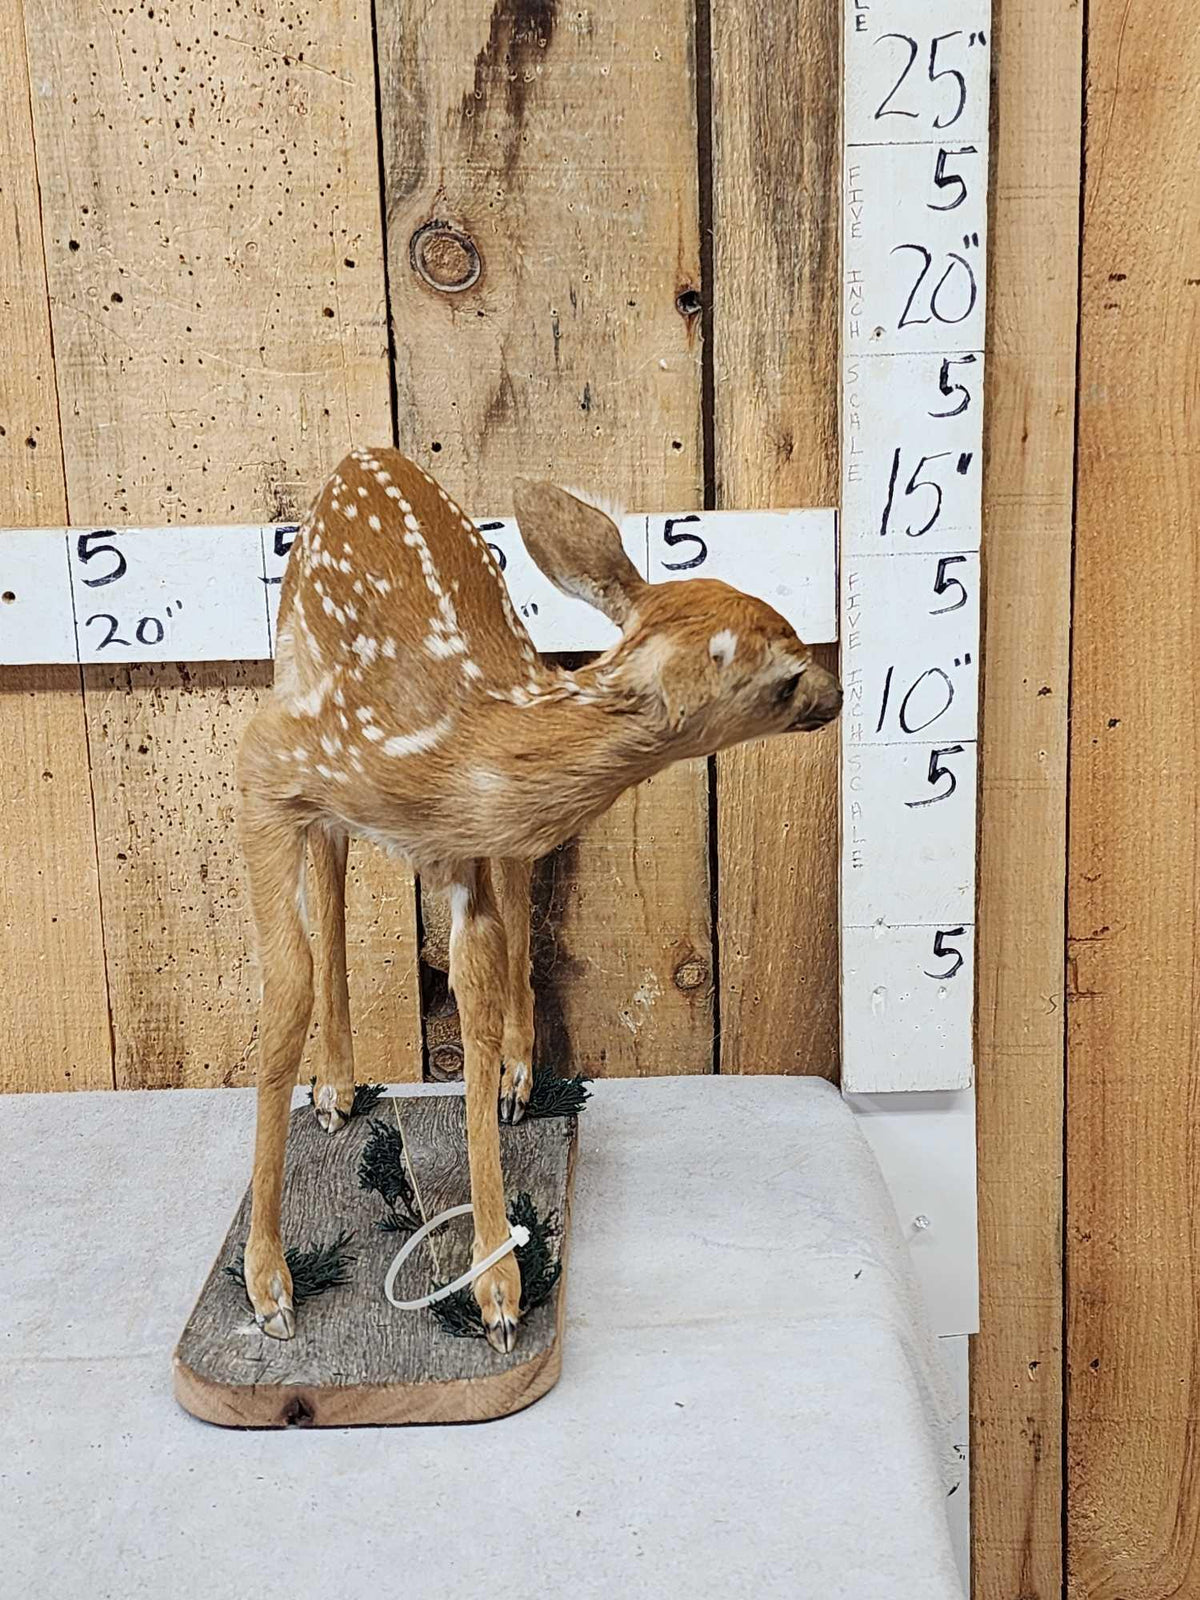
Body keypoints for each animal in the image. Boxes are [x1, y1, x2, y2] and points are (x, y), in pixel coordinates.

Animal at [236, 448, 842, 1352]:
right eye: (784, 679)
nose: (837, 693)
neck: (448, 754)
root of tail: (368, 455)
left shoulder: (458, 855)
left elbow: (476, 1003)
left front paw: (497, 1290)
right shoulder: (267, 762)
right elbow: (285, 993)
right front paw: (268, 1284)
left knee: (510, 901)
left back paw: (520, 1079)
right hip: (292, 678)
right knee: (335, 875)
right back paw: (337, 1091)